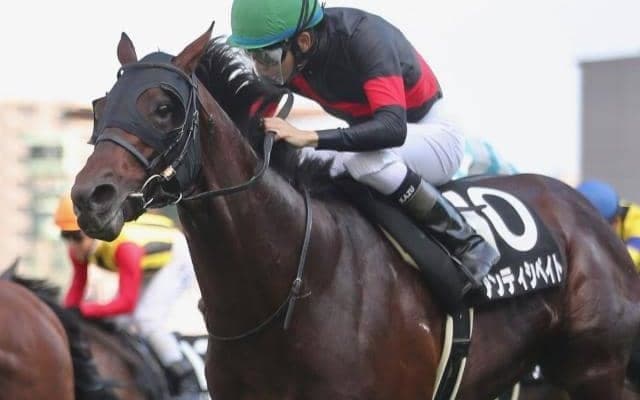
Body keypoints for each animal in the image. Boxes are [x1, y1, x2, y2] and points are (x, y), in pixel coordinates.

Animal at [70, 25, 640, 399]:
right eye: (99, 106)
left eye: (164, 108)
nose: (91, 196)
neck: (291, 284)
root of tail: (588, 213)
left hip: (596, 368)